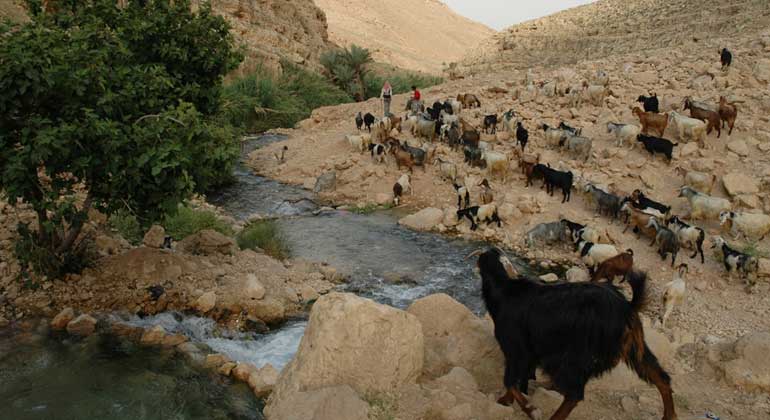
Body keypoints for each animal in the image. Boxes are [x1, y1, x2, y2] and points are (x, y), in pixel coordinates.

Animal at [464, 248, 676, 420]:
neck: (504, 291)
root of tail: (626, 308)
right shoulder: (530, 353)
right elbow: (519, 379)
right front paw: (505, 400)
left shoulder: (516, 349)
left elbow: (510, 381)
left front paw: (531, 409)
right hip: (635, 347)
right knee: (660, 377)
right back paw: (669, 415)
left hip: (577, 356)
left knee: (574, 394)